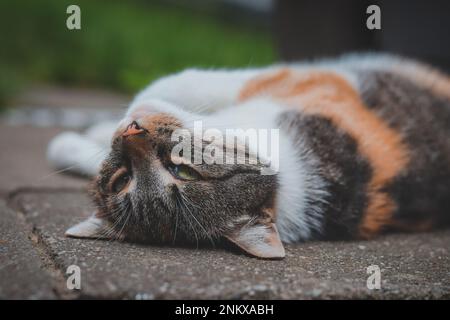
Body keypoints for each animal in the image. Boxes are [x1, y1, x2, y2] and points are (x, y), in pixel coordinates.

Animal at [47, 52, 450, 258]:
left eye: (184, 172)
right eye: (122, 180)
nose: (132, 131)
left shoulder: (319, 86)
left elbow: (171, 84)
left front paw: (87, 133)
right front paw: (81, 140)